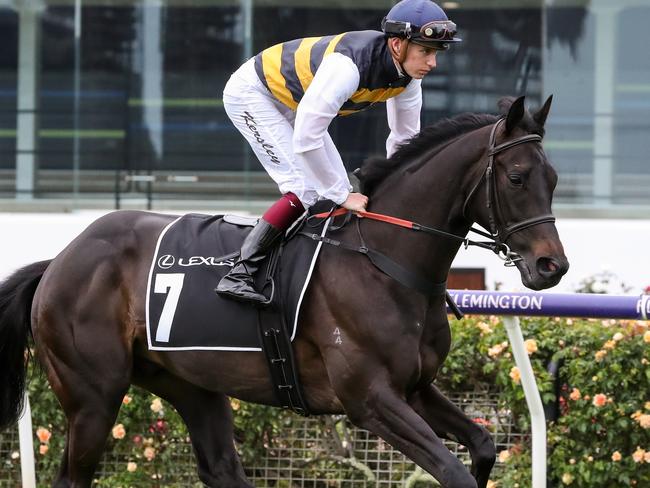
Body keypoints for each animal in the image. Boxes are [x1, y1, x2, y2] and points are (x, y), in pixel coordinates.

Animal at [0, 96, 568, 488]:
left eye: (555, 179)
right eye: (517, 178)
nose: (552, 266)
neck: (384, 260)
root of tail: (59, 261)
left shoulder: (414, 388)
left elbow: (484, 445)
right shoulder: (371, 400)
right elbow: (452, 470)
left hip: (190, 384)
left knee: (222, 468)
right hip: (93, 397)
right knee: (72, 475)